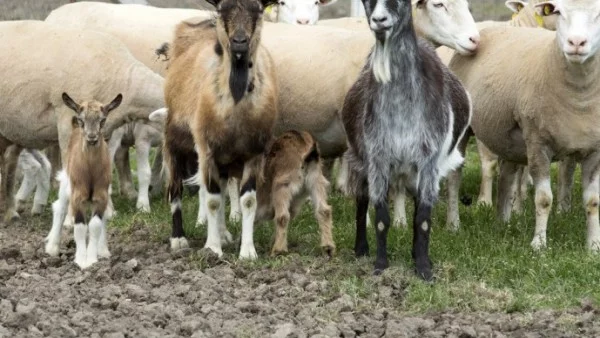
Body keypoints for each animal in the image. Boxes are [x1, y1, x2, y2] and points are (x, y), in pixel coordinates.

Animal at [46, 92, 124, 270]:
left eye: (102, 120)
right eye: (82, 120)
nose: (92, 138)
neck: (90, 173)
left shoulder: (101, 195)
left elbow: (95, 225)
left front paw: (92, 259)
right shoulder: (77, 196)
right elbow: (80, 227)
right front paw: (81, 260)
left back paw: (103, 250)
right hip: (66, 181)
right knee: (59, 207)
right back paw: (52, 247)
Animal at [162, 0, 278, 258]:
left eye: (258, 10)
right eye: (222, 9)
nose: (239, 41)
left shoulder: (254, 154)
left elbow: (247, 201)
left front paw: (247, 252)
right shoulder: (207, 150)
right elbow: (213, 200)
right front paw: (212, 248)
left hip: (225, 158)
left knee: (224, 190)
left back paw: (224, 233)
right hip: (174, 139)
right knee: (176, 189)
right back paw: (178, 239)